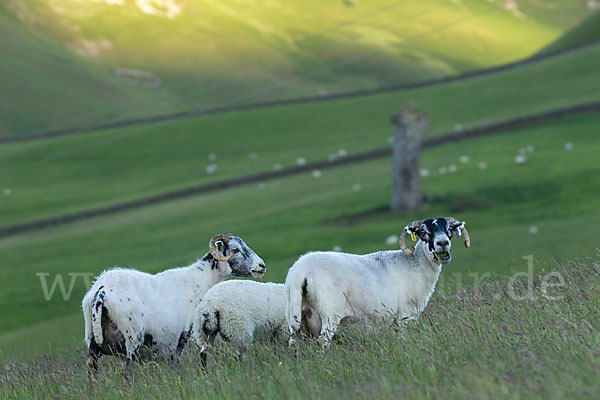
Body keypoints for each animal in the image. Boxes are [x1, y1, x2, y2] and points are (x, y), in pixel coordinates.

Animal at [82, 233, 264, 370]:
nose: (261, 266)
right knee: (127, 369)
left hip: (92, 340)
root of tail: (102, 291)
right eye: (236, 250)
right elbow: (178, 361)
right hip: (131, 338)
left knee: (92, 366)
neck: (201, 278)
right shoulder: (183, 334)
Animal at [284, 217, 468, 346]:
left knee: (294, 342)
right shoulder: (404, 315)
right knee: (323, 340)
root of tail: (300, 271)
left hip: (297, 317)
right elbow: (403, 338)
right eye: (423, 233)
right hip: (329, 315)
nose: (442, 243)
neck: (415, 264)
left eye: (450, 229)